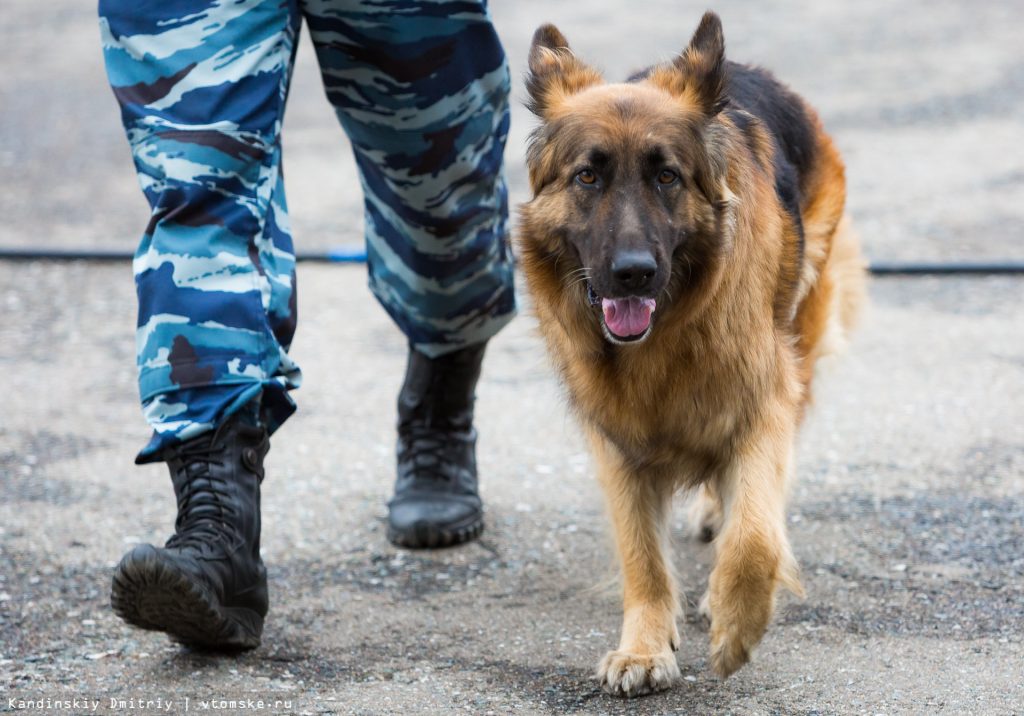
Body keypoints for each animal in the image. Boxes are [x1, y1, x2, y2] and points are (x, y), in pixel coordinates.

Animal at [520, 9, 864, 696]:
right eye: (587, 175)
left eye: (667, 176)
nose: (634, 273)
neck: (667, 336)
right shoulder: (616, 438)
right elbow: (642, 556)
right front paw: (645, 648)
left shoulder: (764, 399)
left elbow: (754, 533)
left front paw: (736, 621)